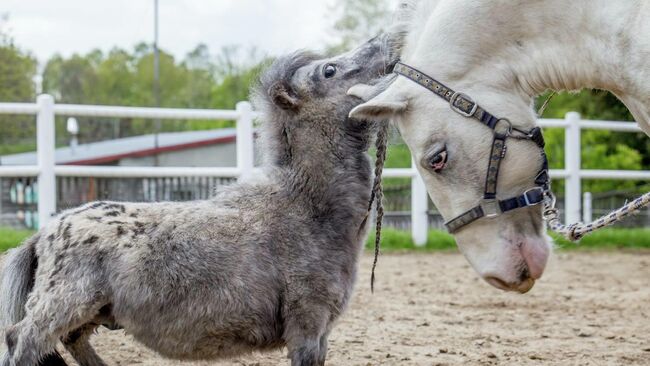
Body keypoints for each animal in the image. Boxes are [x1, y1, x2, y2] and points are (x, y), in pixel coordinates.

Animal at [0, 35, 394, 366]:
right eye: (329, 70)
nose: (383, 42)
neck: (304, 207)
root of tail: (47, 230)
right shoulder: (307, 327)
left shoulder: (320, 333)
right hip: (62, 305)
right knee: (21, 340)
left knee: (72, 340)